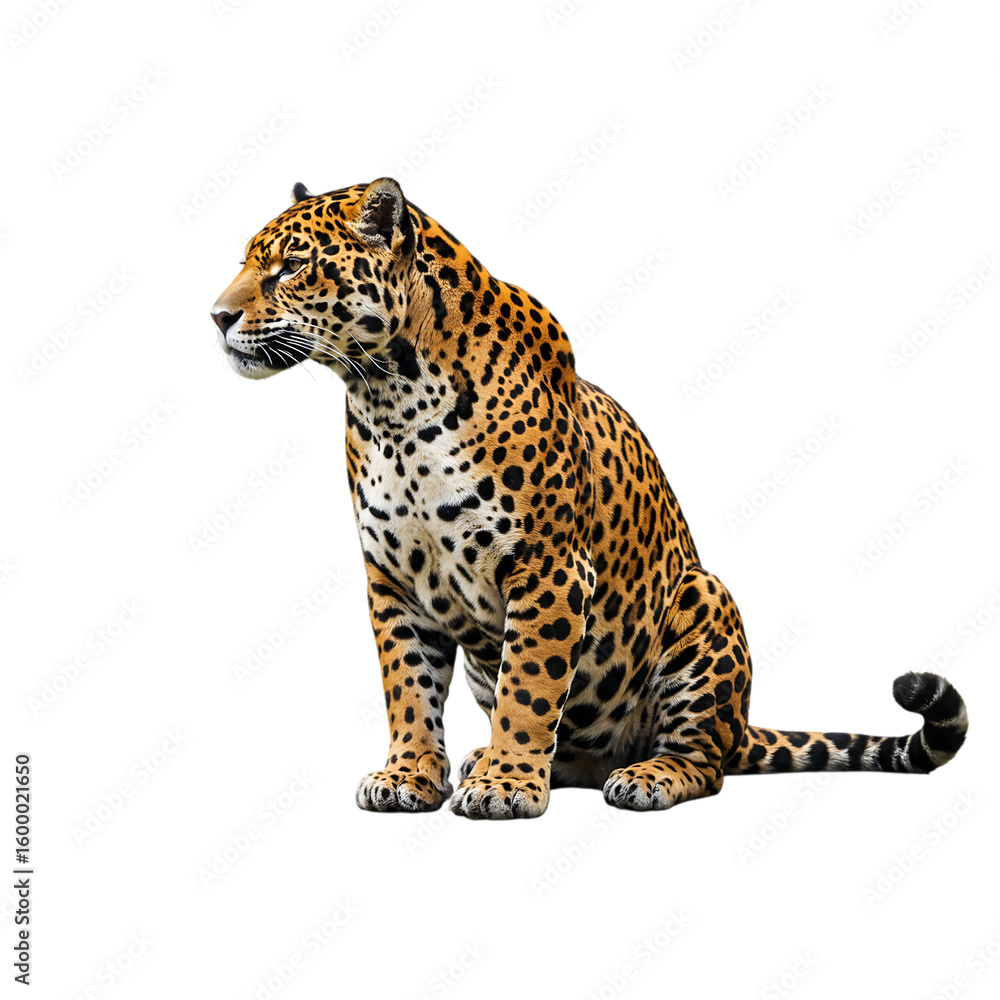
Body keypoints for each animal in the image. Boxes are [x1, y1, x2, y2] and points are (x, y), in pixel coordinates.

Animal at [211, 178, 968, 819]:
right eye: (247, 261)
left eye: (291, 266)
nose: (216, 316)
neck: (389, 399)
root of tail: (740, 726)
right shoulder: (392, 578)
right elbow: (408, 686)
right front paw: (410, 775)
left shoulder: (548, 566)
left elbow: (529, 684)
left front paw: (507, 787)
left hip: (704, 600)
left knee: (705, 763)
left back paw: (643, 776)